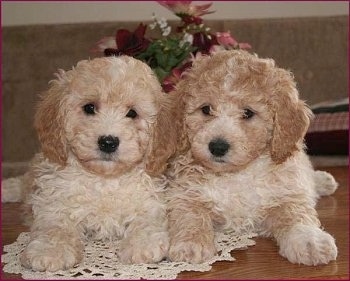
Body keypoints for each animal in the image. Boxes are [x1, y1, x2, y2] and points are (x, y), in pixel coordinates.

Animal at [2, 55, 172, 270]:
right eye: (89, 108)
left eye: (132, 113)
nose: (108, 142)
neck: (104, 179)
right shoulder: (53, 201)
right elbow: (54, 226)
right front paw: (49, 251)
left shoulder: (149, 200)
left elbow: (147, 219)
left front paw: (143, 244)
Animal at [165, 49, 340, 264]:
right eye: (206, 109)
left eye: (248, 113)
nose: (217, 146)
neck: (236, 174)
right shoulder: (184, 191)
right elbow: (190, 213)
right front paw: (191, 243)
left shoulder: (286, 191)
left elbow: (296, 213)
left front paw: (309, 241)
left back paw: (324, 181)